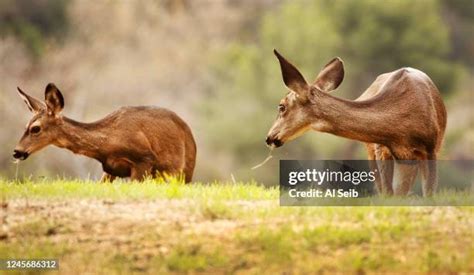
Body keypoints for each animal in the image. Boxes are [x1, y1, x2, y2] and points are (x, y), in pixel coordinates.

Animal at [12, 84, 196, 183]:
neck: (106, 143)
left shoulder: (144, 159)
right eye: (25, 125)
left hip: (183, 170)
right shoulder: (109, 169)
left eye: (35, 128)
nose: (16, 151)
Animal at [266, 50, 448, 197]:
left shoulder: (431, 148)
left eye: (281, 106)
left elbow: (429, 193)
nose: (269, 137)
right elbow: (389, 193)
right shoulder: (381, 148)